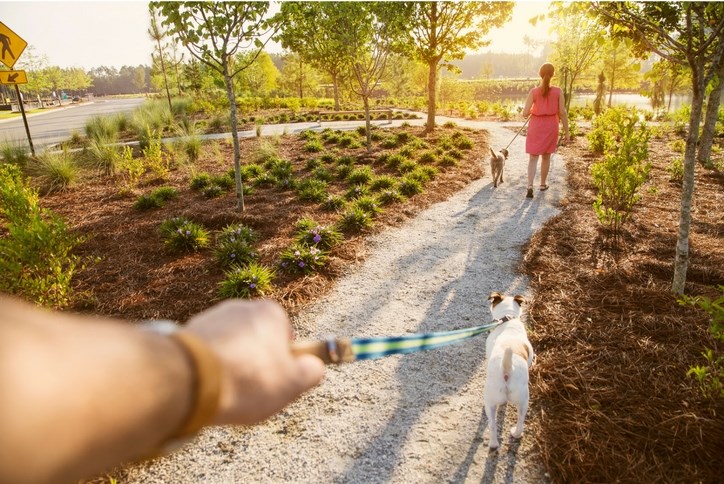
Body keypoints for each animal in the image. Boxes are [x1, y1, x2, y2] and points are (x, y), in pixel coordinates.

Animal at [484, 292, 536, 450]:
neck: (508, 318)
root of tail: (507, 368)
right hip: (523, 401)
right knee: (520, 421)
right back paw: (514, 435)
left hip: (490, 401)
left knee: (492, 425)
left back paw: (494, 443)